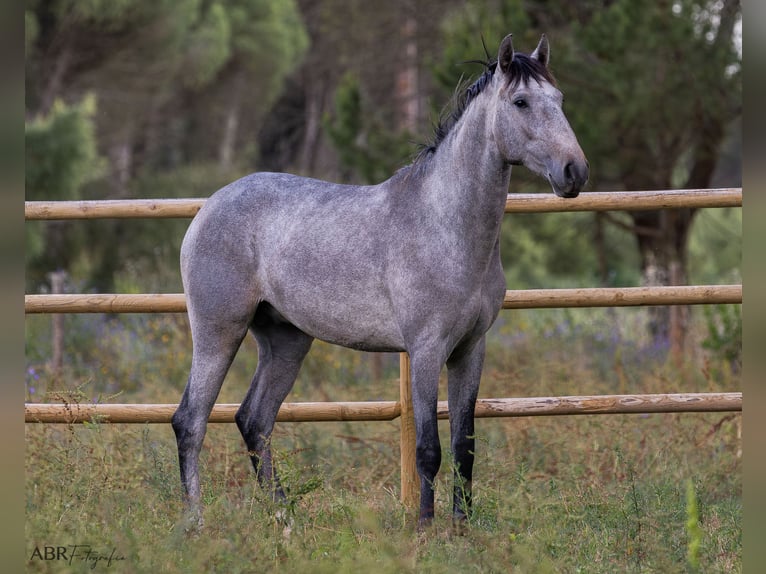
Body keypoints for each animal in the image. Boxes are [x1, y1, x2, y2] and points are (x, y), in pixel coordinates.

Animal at [171, 32, 588, 532]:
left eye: (559, 99)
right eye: (521, 102)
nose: (574, 172)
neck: (445, 223)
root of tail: (209, 207)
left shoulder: (470, 350)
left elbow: (464, 446)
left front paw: (462, 528)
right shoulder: (426, 350)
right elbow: (428, 449)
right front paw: (425, 530)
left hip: (286, 341)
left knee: (254, 421)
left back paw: (285, 520)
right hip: (218, 332)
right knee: (191, 421)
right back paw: (196, 524)